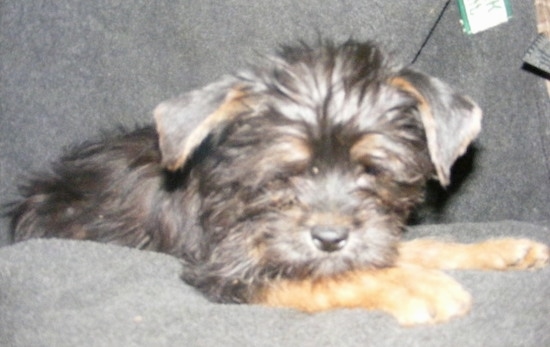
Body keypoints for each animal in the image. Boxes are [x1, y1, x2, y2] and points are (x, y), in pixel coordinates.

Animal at [9, 40, 550, 326]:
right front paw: (415, 285)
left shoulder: (370, 236)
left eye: (372, 169)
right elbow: (323, 278)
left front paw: (499, 250)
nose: (329, 238)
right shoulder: (229, 270)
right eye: (283, 174)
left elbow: (414, 247)